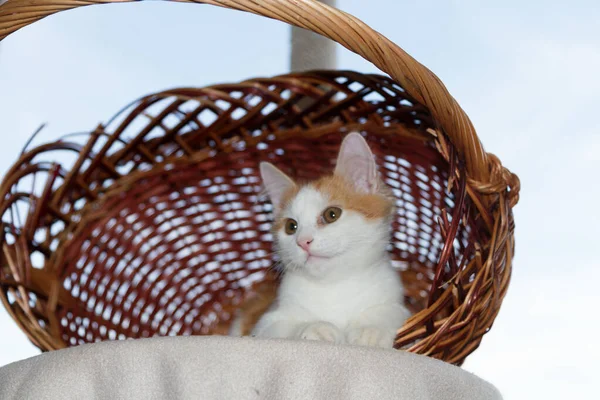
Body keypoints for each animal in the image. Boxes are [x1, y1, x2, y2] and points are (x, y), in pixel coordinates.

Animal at [230, 134, 408, 346]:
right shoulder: (266, 322)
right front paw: (315, 328)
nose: (303, 242)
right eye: (291, 226)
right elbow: (278, 328)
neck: (333, 286)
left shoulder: (396, 301)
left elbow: (393, 311)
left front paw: (370, 330)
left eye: (331, 214)